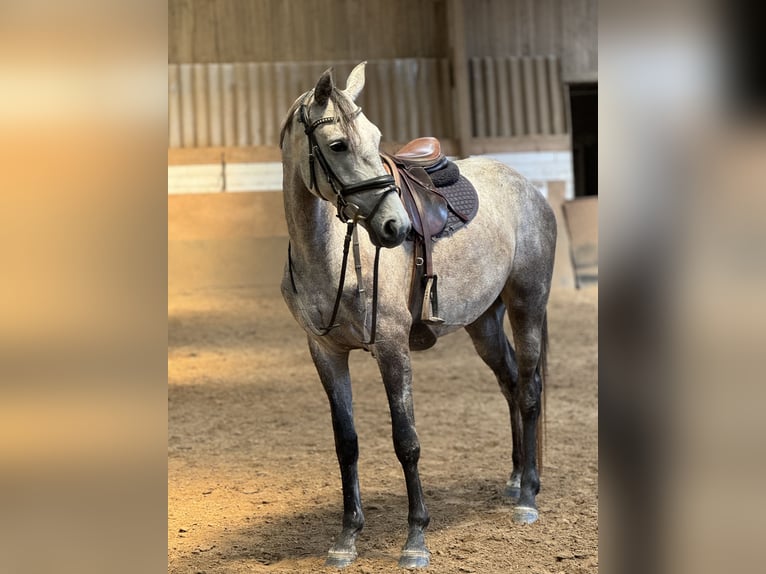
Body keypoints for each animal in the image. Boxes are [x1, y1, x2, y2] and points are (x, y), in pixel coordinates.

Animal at [280, 64, 556, 572]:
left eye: (375, 138)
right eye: (337, 145)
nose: (397, 227)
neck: (326, 255)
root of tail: (529, 188)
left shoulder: (392, 348)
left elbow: (406, 441)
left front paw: (415, 539)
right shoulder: (325, 352)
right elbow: (346, 443)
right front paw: (347, 537)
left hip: (528, 304)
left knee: (529, 392)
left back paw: (528, 496)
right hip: (485, 323)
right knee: (510, 383)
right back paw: (513, 480)